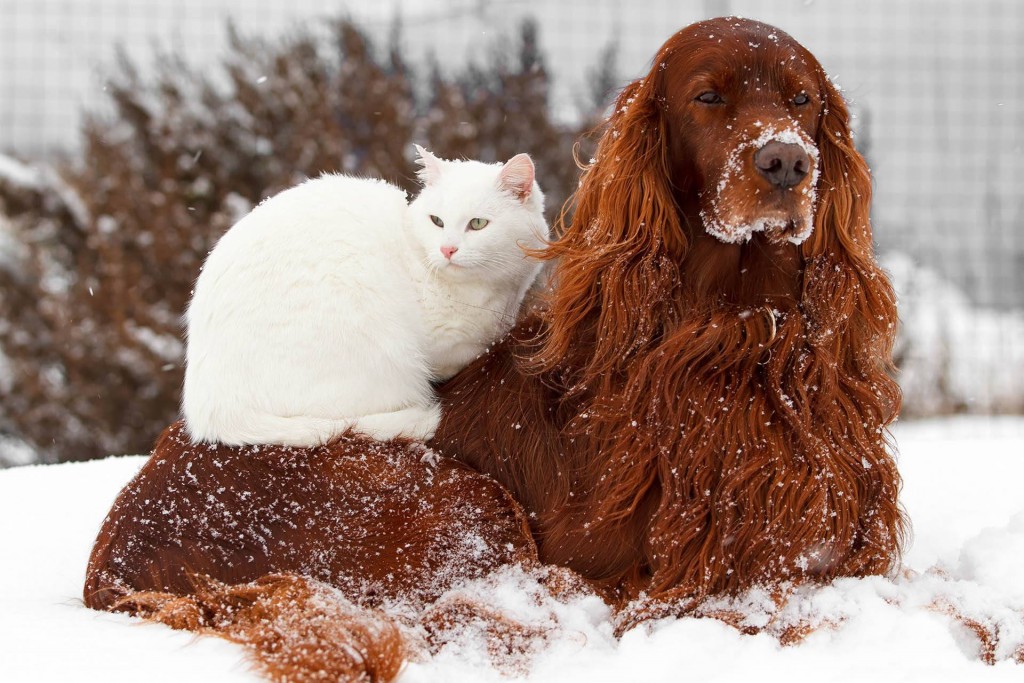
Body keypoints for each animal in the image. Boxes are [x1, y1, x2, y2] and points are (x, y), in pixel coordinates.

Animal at [184, 145, 552, 448]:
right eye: (437, 221)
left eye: (477, 224)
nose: (447, 249)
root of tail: (210, 410)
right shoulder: (446, 346)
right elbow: (475, 349)